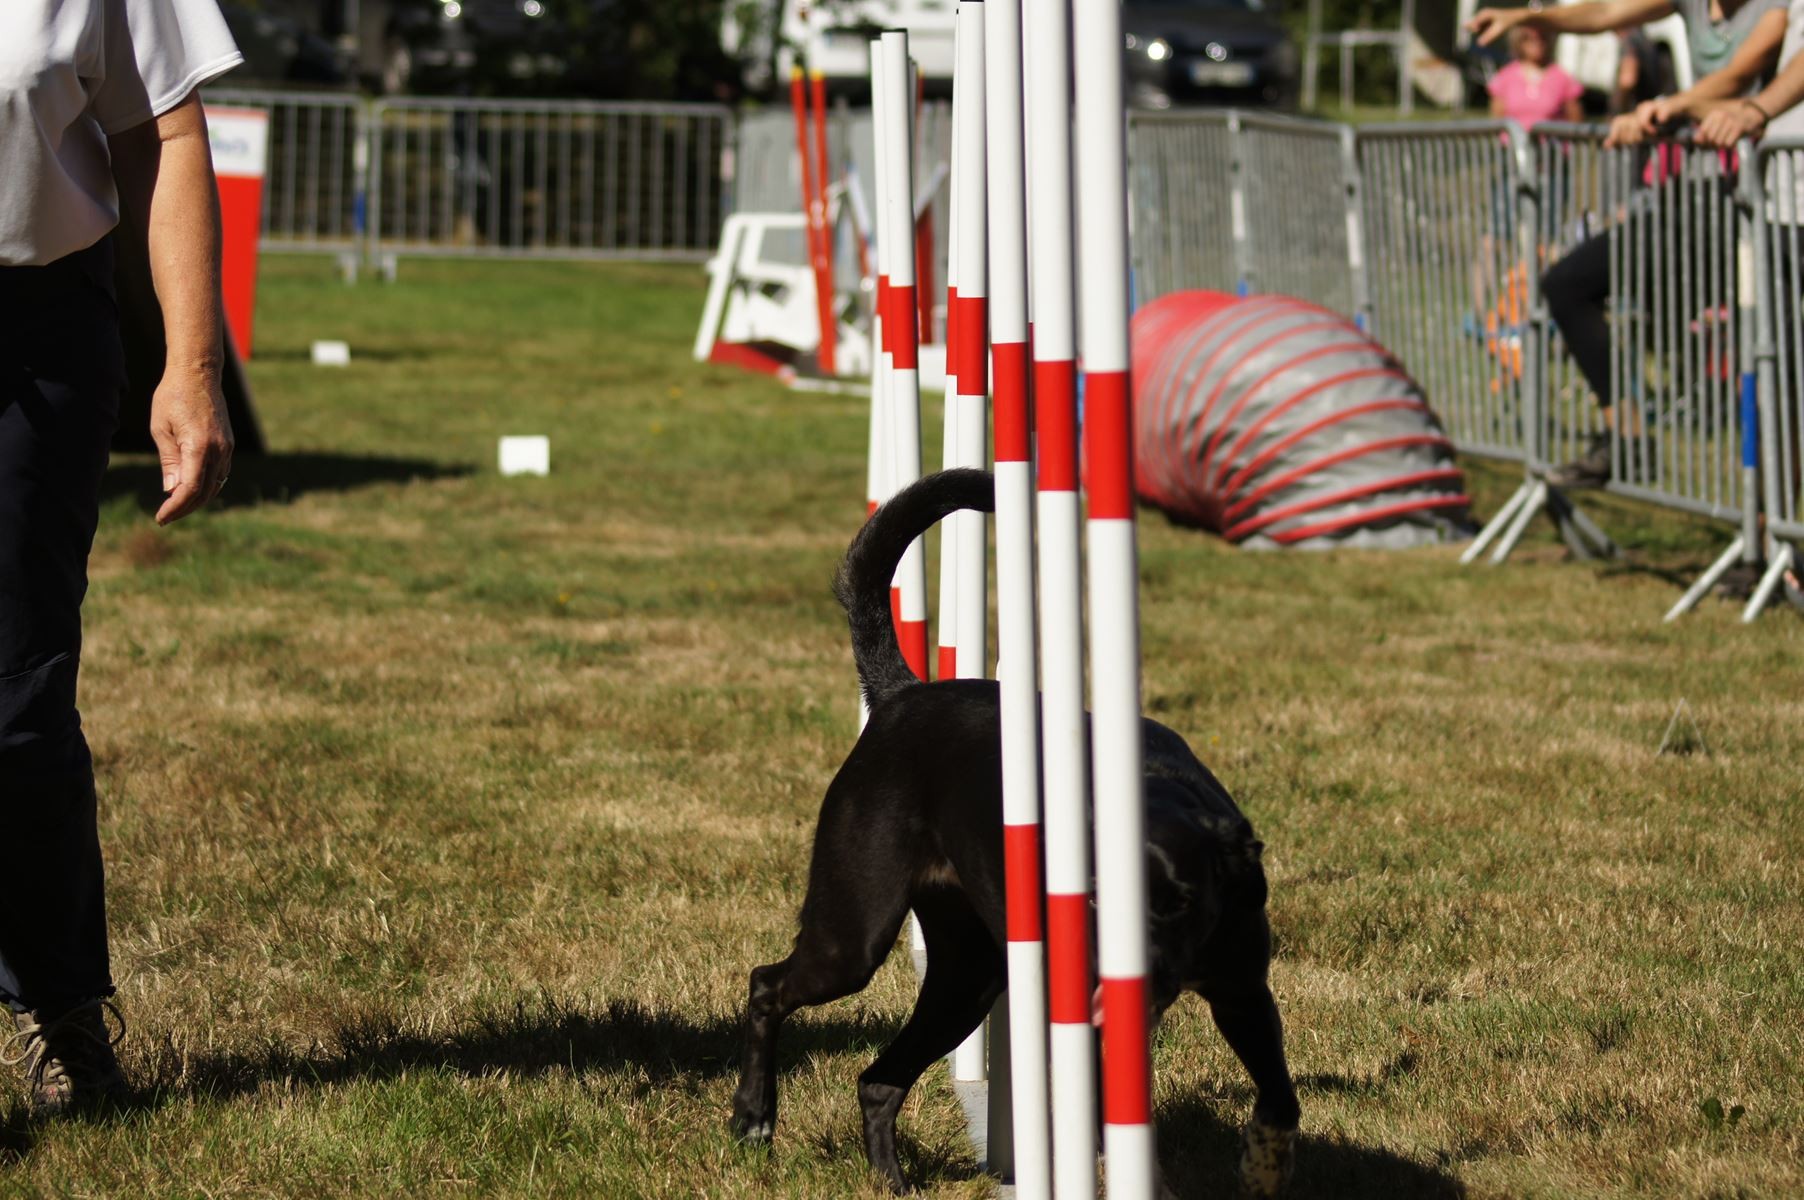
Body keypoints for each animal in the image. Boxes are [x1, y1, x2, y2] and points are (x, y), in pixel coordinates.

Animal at [728, 472, 1298, 1190]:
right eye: (1090, 898)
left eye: (1181, 903)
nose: (1121, 976)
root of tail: (902, 696)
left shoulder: (1243, 990)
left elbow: (1280, 1095)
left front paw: (1263, 1165)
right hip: (854, 936)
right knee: (768, 986)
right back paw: (754, 1117)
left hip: (965, 976)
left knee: (879, 1079)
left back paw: (891, 1181)